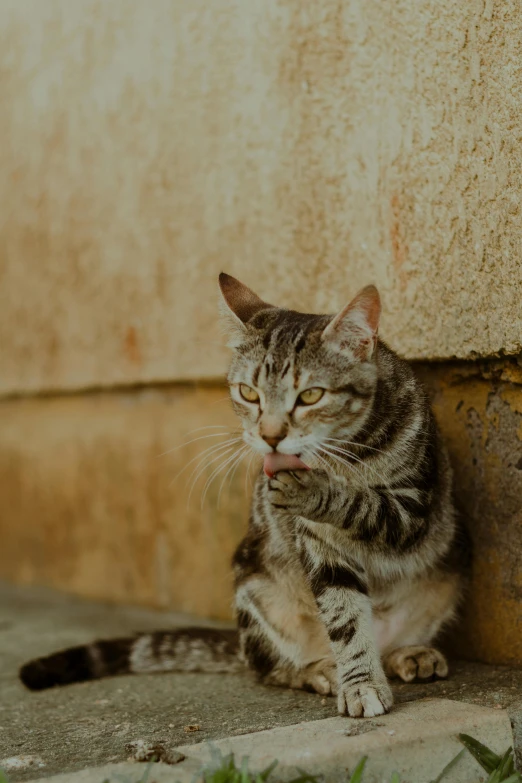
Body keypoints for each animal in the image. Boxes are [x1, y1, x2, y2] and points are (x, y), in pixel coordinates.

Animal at [19, 272, 468, 720]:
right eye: (249, 393)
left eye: (310, 395)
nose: (270, 436)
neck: (346, 456)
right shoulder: (318, 546)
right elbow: (344, 616)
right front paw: (358, 684)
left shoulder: (413, 508)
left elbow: (365, 505)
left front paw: (314, 489)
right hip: (255, 590)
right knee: (269, 667)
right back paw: (323, 670)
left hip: (444, 582)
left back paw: (410, 654)